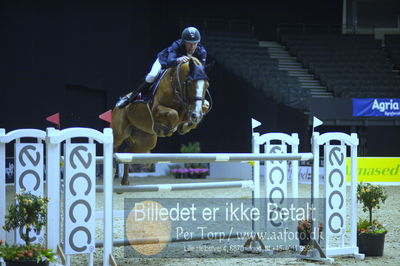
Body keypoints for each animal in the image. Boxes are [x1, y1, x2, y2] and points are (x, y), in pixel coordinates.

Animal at [109, 56, 209, 185]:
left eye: (207, 85)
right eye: (190, 83)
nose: (196, 115)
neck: (176, 85)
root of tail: (116, 107)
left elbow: (204, 106)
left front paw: (187, 125)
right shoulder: (156, 109)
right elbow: (173, 114)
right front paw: (164, 129)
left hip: (146, 142)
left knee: (127, 152)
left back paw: (125, 181)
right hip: (119, 133)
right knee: (115, 146)